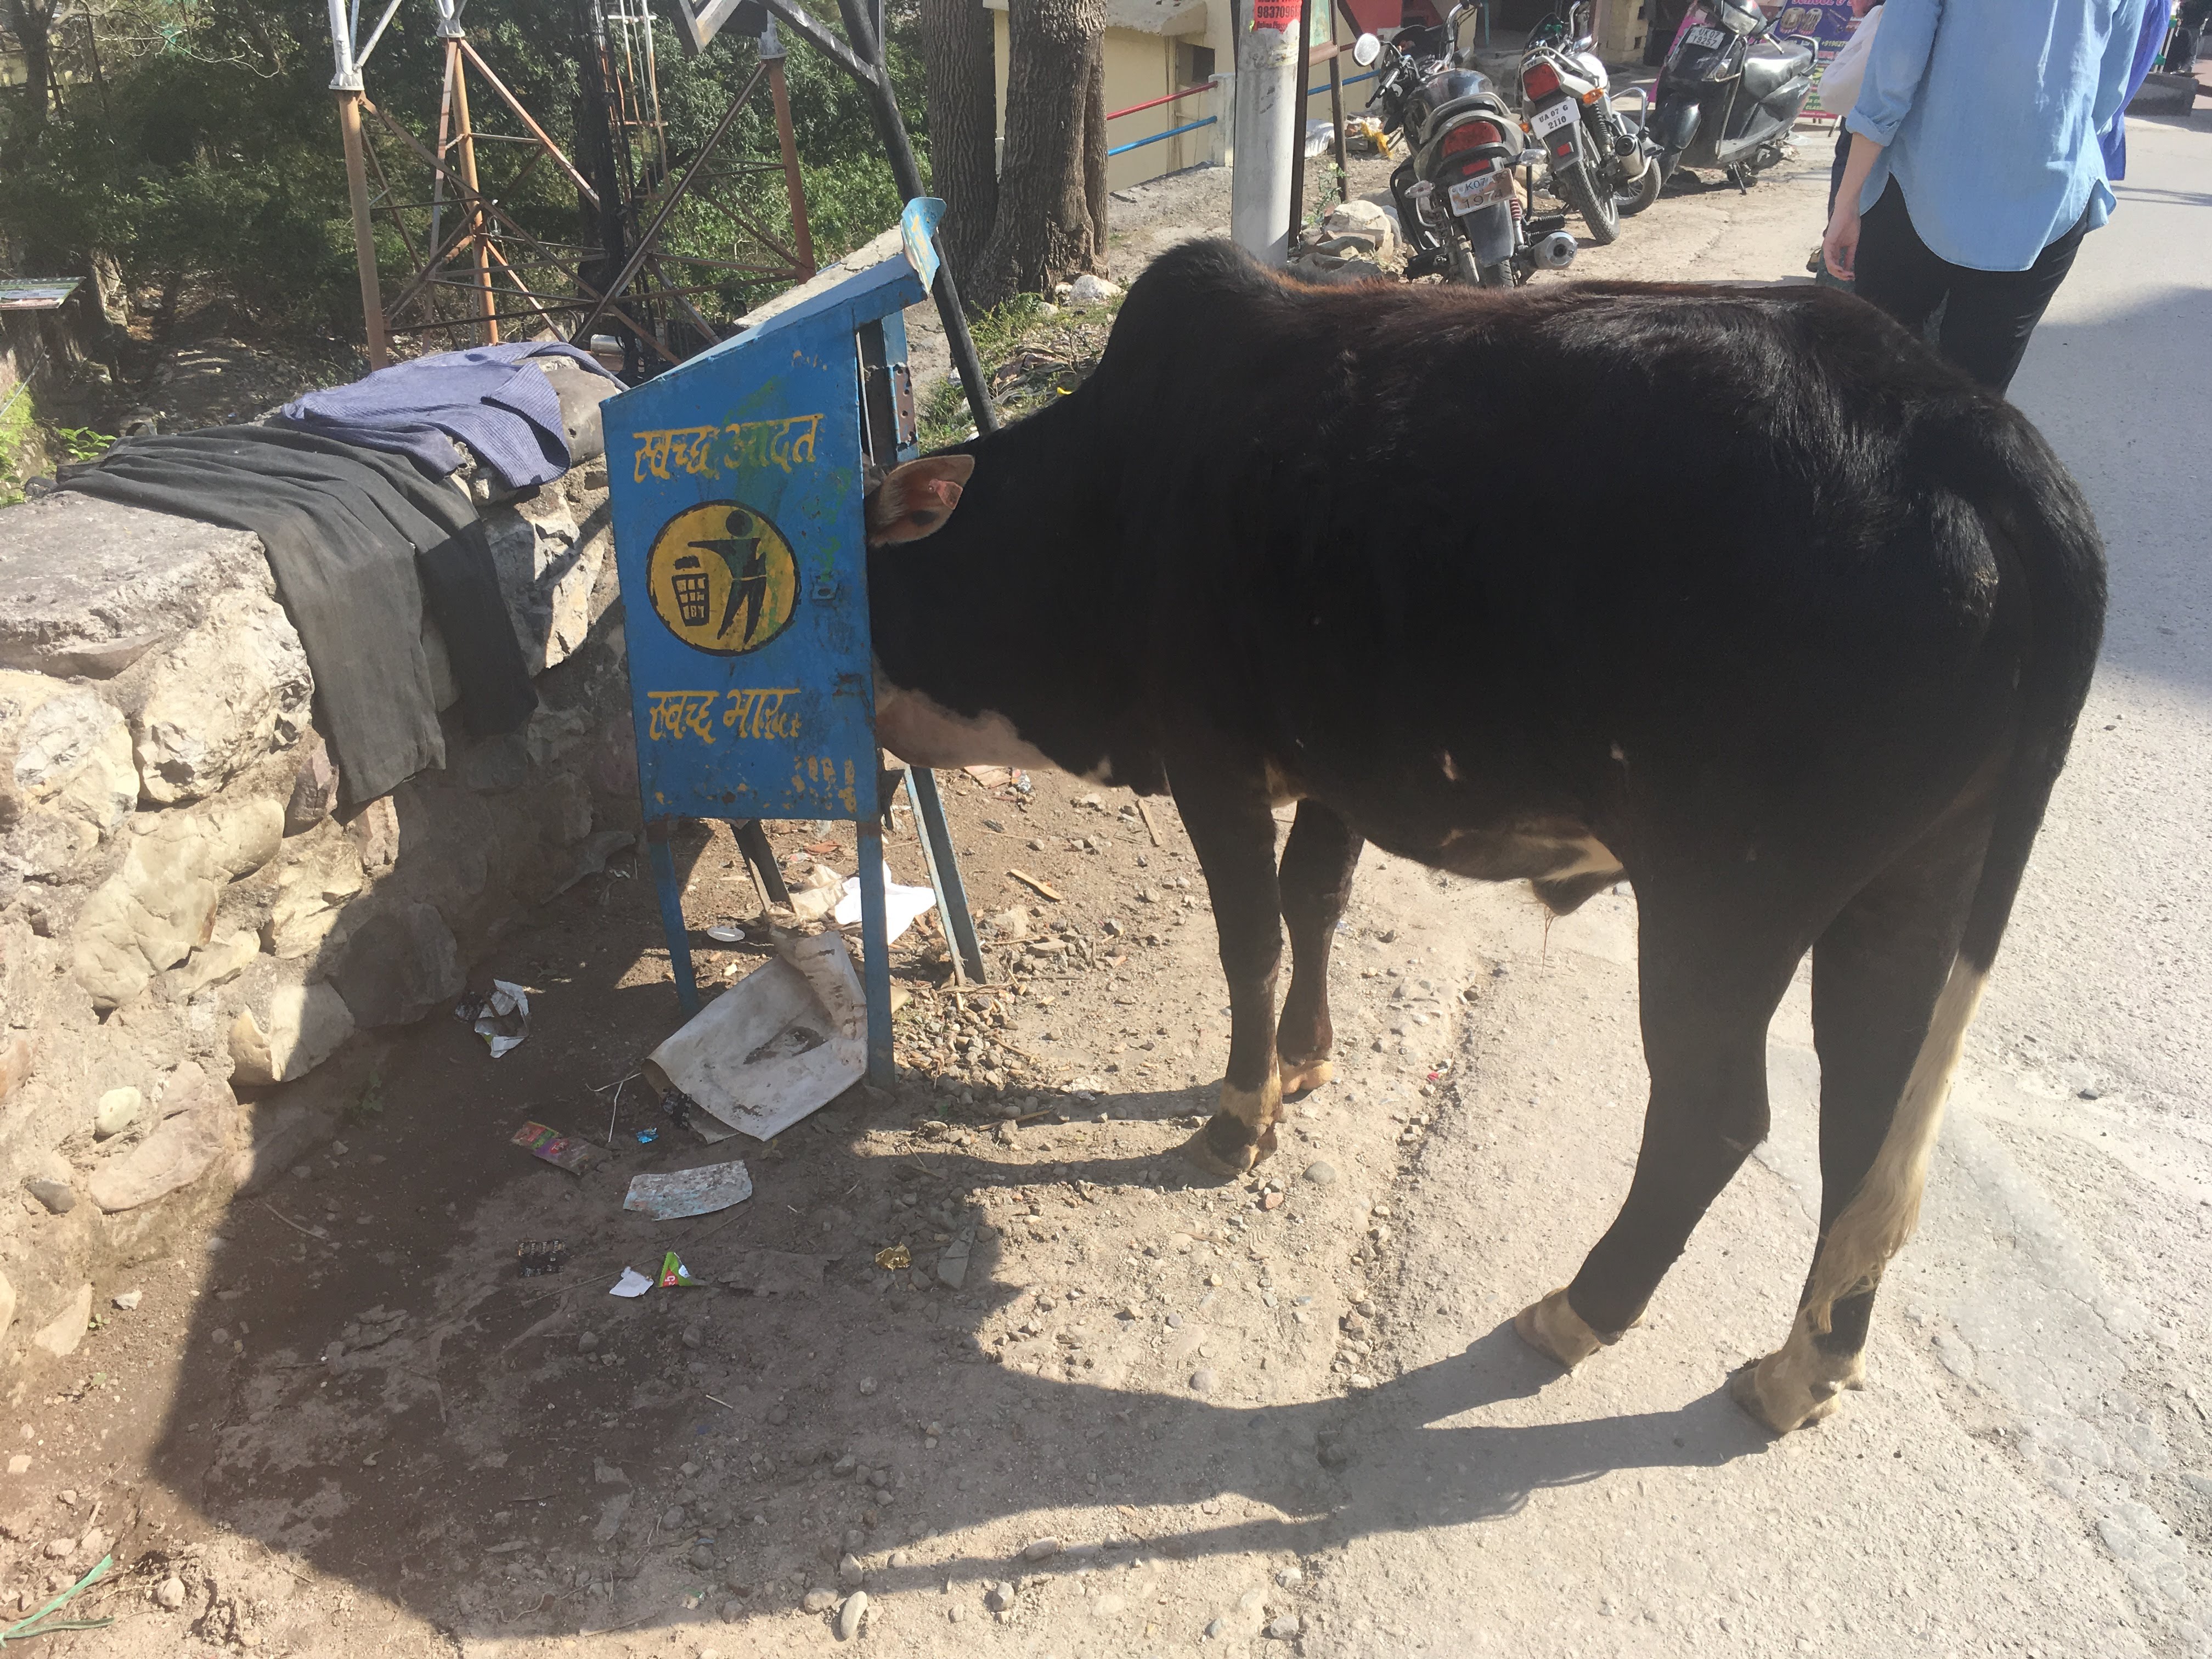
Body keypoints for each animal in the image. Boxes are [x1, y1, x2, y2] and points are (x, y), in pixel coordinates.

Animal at [854, 240, 2097, 1433]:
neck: (1111, 488)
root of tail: (1951, 412)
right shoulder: (1336, 766)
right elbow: (1316, 900)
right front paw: (1306, 1059)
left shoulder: (1212, 756)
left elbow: (1252, 938)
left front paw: (1239, 1119)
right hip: (1915, 883)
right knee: (1869, 1118)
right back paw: (1803, 1368)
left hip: (1727, 897)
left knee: (1715, 1116)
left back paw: (1583, 1308)